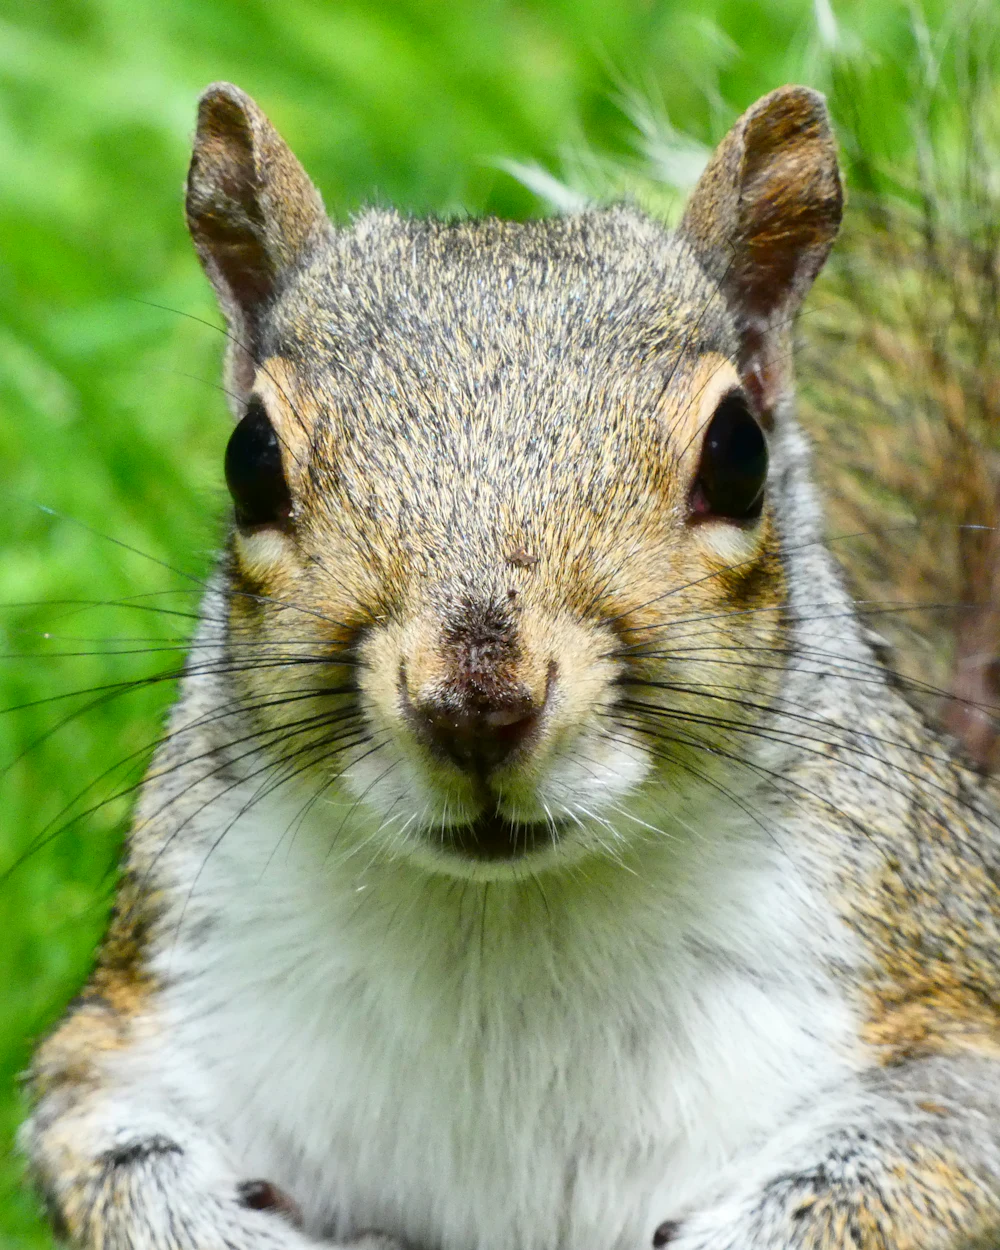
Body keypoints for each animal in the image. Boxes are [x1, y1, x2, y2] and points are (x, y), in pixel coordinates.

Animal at [19, 78, 1000, 1250]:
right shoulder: (146, 1011)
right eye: (249, 460)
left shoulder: (937, 991)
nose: (473, 704)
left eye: (738, 453)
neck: (506, 917)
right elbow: (105, 1135)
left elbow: (915, 1157)